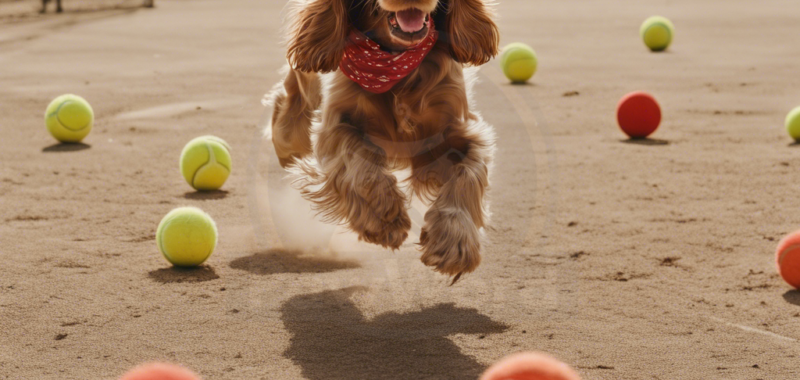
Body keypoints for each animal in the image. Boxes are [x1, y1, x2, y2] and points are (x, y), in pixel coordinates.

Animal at [268, 0, 500, 282]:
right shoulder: (335, 123)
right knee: (284, 116)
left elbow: (468, 175)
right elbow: (359, 160)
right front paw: (383, 219)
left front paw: (454, 242)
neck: (396, 61)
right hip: (295, 119)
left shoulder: (456, 132)